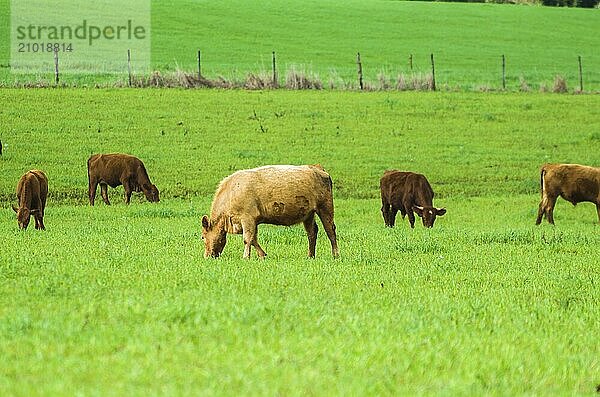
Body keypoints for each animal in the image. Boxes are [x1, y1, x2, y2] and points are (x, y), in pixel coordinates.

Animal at [202, 163, 340, 258]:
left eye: (202, 237)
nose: (207, 256)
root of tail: (316, 168)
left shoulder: (247, 219)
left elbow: (247, 239)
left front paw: (246, 257)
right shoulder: (251, 222)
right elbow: (254, 239)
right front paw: (262, 255)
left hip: (325, 208)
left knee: (330, 231)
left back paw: (335, 255)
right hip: (308, 214)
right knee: (312, 232)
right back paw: (310, 256)